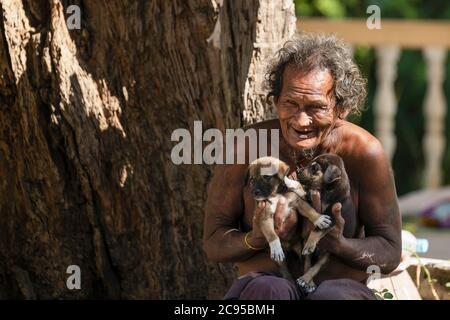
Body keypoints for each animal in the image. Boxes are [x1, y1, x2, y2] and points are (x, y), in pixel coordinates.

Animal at [296, 154, 352, 294]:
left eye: (314, 167)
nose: (298, 170)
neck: (325, 191)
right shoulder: (305, 201)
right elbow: (308, 209)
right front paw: (319, 219)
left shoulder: (334, 218)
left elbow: (317, 230)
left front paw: (311, 242)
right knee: (307, 262)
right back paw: (306, 282)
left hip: (327, 256)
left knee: (316, 267)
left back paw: (306, 279)